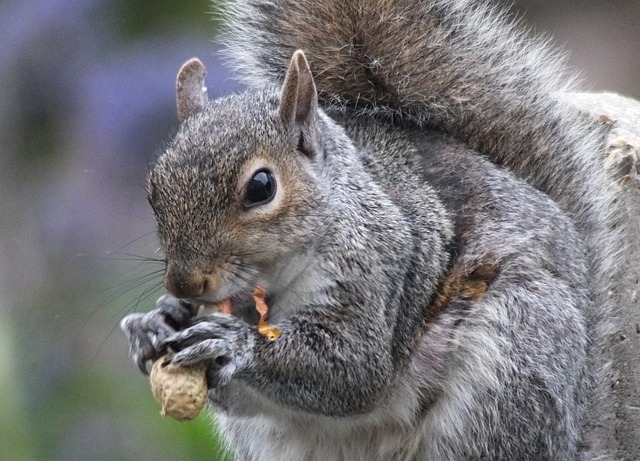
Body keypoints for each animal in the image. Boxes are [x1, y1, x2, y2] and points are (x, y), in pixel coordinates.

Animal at [117, 0, 624, 460]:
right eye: (153, 188)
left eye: (261, 186)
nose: (184, 283)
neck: (272, 286)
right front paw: (154, 323)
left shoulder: (375, 266)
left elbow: (355, 370)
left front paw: (232, 343)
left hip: (517, 354)